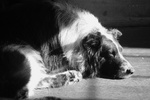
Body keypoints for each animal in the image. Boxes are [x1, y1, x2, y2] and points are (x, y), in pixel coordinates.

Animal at [0, 0, 134, 99]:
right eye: (111, 54)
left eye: (121, 51)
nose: (131, 71)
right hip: (22, 51)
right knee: (25, 90)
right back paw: (68, 77)